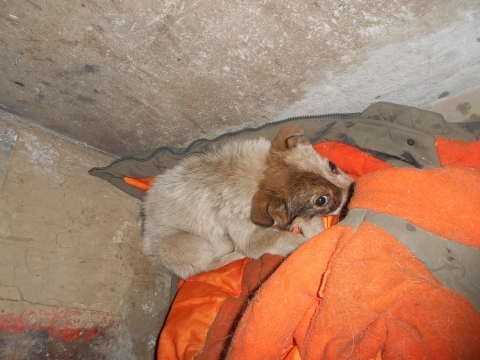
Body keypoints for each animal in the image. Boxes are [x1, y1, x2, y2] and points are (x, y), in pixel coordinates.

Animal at [142, 126, 352, 278]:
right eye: (321, 200)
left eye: (332, 166)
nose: (355, 188)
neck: (259, 175)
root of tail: (151, 251)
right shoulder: (250, 238)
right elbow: (289, 239)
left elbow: (311, 227)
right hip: (190, 242)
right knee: (206, 267)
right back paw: (232, 253)